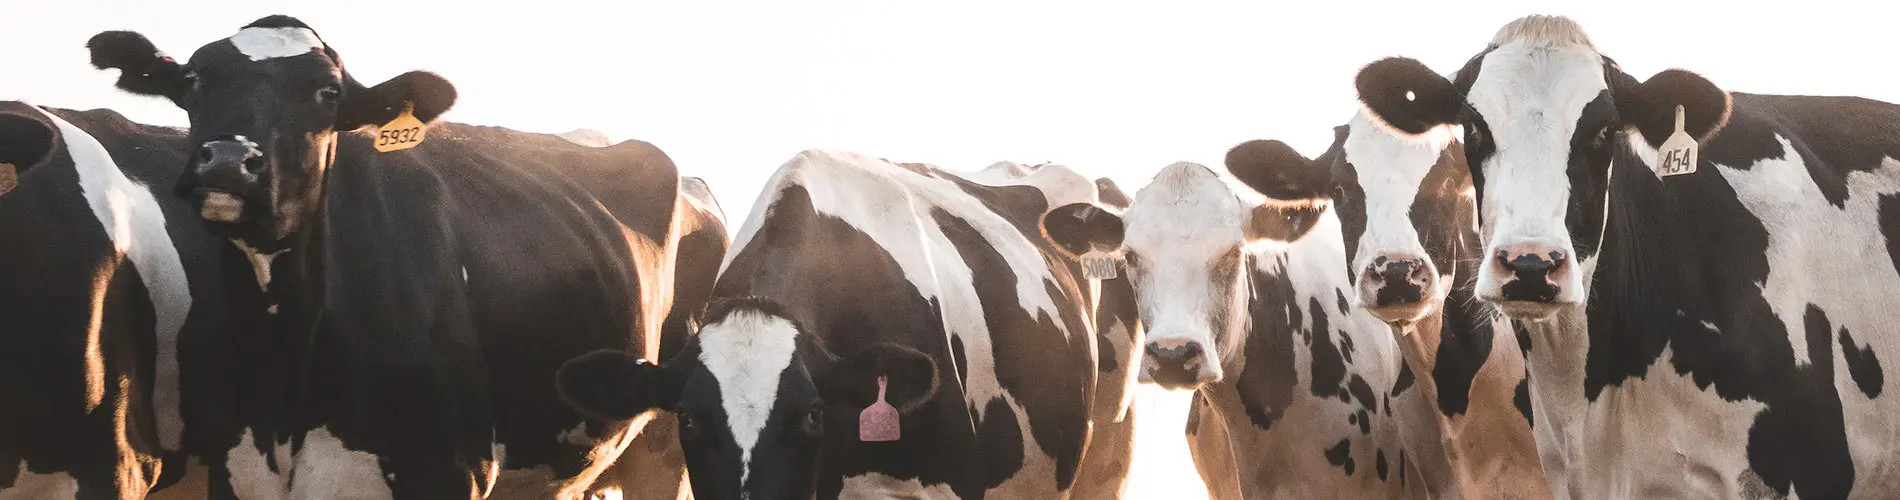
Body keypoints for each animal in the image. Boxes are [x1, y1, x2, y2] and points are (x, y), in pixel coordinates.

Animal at [85, 15, 706, 499]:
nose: (228, 162)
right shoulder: (236, 471)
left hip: (666, 444)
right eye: (192, 80)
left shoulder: (449, 469)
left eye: (329, 93)